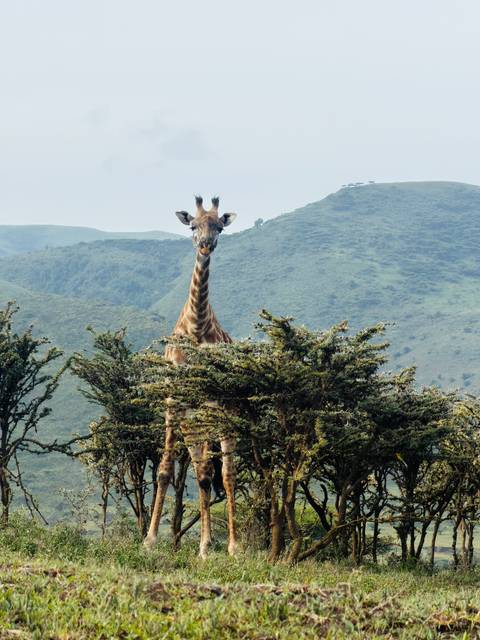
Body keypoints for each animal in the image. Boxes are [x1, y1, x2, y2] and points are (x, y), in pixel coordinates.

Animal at [144, 195, 238, 559]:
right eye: (193, 226)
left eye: (219, 227)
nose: (205, 244)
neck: (197, 328)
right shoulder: (173, 400)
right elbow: (164, 470)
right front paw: (149, 540)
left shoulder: (211, 401)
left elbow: (213, 473)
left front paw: (211, 547)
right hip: (193, 422)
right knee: (200, 471)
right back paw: (206, 543)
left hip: (223, 416)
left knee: (224, 472)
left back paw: (230, 545)